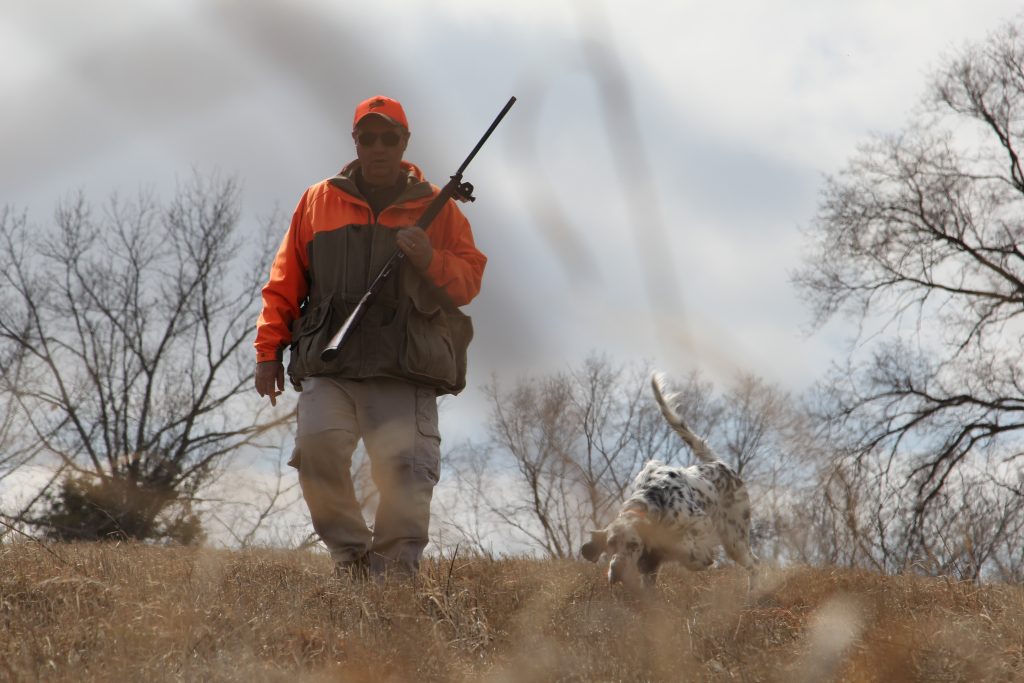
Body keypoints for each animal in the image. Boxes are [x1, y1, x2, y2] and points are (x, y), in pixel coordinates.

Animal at [581, 370, 757, 589]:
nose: (617, 571)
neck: (654, 501)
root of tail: (720, 464)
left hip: (735, 540)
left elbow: (687, 549)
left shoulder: (700, 522)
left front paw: (701, 556)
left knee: (754, 565)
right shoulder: (650, 566)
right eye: (610, 544)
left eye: (633, 544)